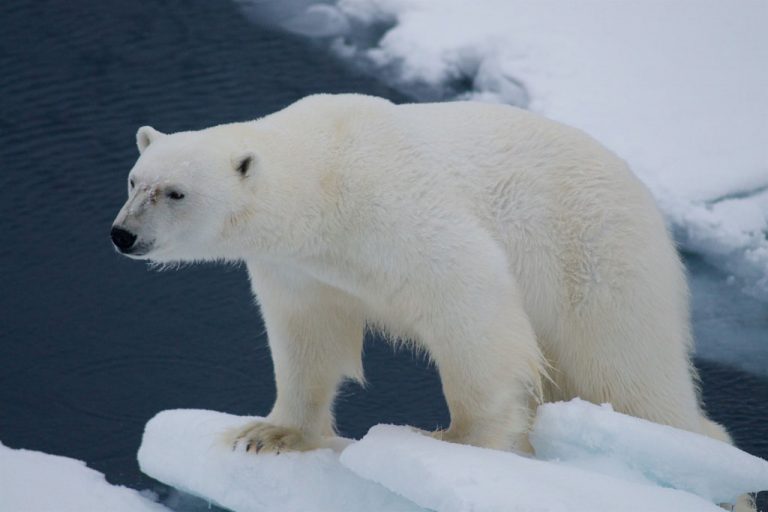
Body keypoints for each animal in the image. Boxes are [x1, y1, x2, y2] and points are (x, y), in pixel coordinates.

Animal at [111, 95, 736, 456]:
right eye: (135, 180)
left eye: (175, 192)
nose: (123, 235)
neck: (323, 179)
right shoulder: (301, 269)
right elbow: (307, 338)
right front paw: (271, 433)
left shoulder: (393, 204)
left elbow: (470, 299)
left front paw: (454, 437)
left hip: (599, 256)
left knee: (629, 375)